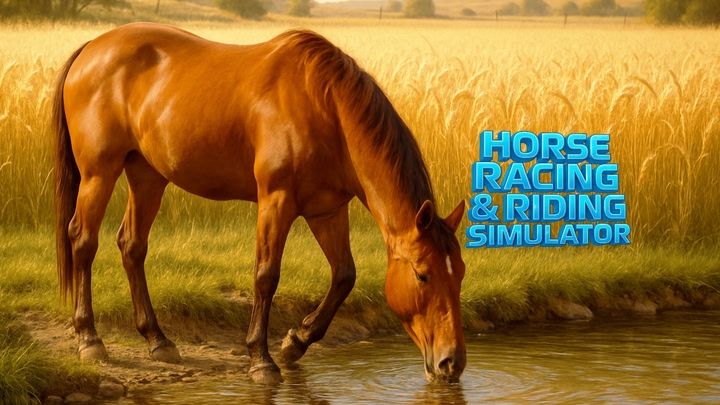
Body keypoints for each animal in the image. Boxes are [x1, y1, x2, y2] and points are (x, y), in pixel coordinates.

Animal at [53, 22, 467, 384]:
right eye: (422, 275)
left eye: (460, 273)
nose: (451, 363)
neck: (325, 107)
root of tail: (91, 48)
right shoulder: (276, 201)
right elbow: (266, 276)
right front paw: (261, 359)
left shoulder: (327, 210)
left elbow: (344, 275)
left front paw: (295, 342)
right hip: (99, 173)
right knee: (83, 240)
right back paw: (89, 339)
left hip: (147, 175)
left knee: (132, 245)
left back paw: (158, 340)